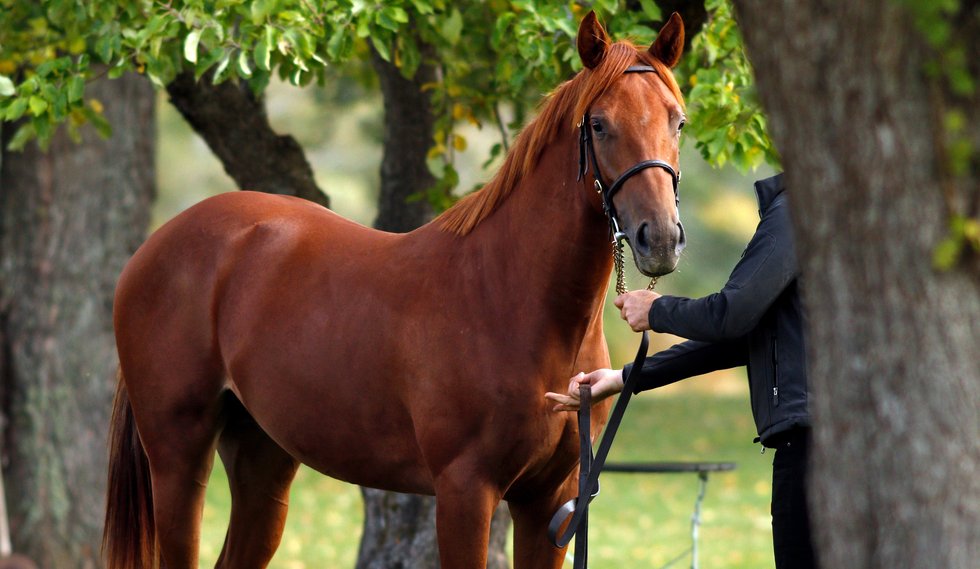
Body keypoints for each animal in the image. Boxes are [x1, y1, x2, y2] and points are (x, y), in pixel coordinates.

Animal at [105, 10, 688, 568]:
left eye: (677, 121)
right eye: (599, 124)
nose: (659, 237)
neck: (508, 298)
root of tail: (153, 247)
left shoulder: (551, 500)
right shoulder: (464, 492)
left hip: (263, 458)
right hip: (178, 458)